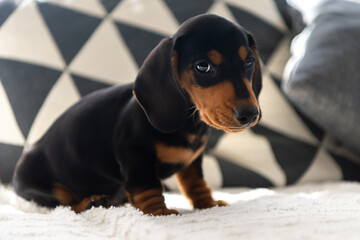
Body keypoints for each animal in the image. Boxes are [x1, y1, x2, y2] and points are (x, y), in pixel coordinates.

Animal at [12, 13, 262, 216]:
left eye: (249, 61)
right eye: (203, 66)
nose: (250, 115)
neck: (189, 124)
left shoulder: (193, 160)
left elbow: (195, 183)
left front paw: (207, 203)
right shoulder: (135, 155)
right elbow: (148, 186)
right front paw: (158, 211)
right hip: (42, 187)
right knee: (64, 202)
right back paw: (90, 201)